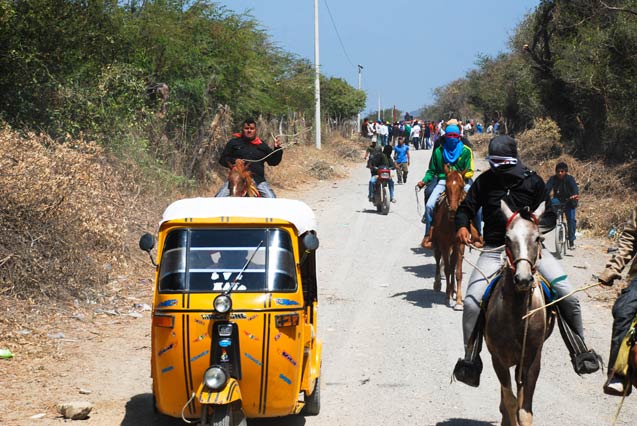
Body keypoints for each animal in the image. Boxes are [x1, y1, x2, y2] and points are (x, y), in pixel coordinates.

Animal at [430, 166, 470, 310]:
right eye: (446, 186)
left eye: (461, 186)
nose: (453, 210)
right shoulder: (444, 244)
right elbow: (447, 269)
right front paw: (447, 296)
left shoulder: (460, 244)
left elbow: (457, 272)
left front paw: (458, 301)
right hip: (437, 244)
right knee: (438, 260)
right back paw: (439, 285)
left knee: (453, 265)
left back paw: (453, 290)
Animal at [486, 201, 552, 426]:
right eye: (507, 238)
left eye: (538, 238)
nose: (523, 279)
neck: (517, 318)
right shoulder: (497, 359)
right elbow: (510, 401)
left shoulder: (533, 359)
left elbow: (524, 410)